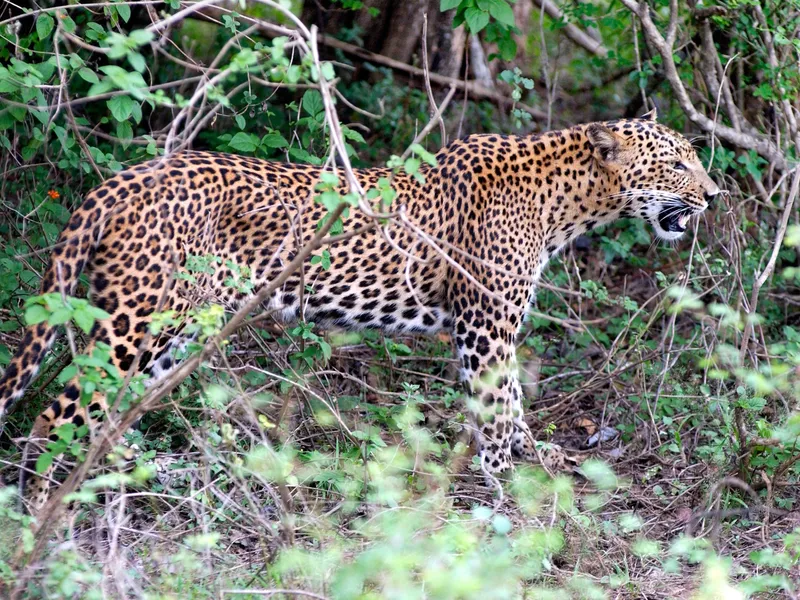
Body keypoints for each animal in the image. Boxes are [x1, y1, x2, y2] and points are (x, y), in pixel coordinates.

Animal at [0, 111, 720, 510]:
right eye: (677, 163)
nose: (715, 195)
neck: (567, 202)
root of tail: (120, 179)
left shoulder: (494, 328)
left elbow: (512, 406)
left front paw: (537, 466)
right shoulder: (486, 325)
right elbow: (495, 412)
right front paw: (508, 495)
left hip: (169, 326)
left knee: (110, 414)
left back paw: (140, 484)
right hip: (136, 318)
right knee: (58, 415)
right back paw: (44, 522)